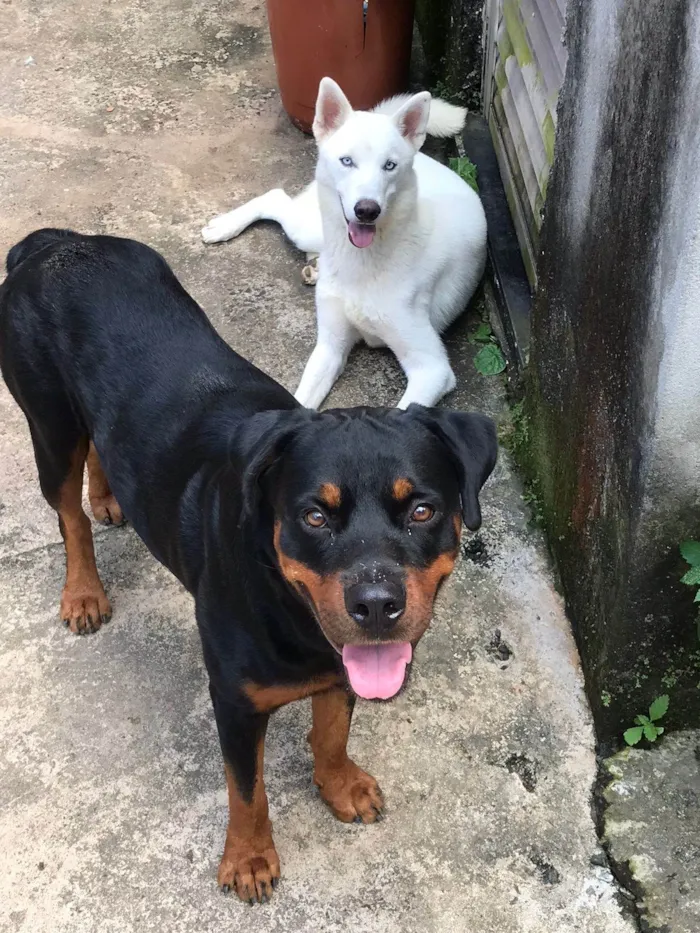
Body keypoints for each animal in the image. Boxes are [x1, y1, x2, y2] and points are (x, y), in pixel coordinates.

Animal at [202, 82, 486, 410]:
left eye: (390, 165)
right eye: (347, 161)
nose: (367, 210)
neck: (361, 264)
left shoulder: (432, 369)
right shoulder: (330, 346)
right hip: (310, 229)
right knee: (275, 198)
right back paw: (224, 227)